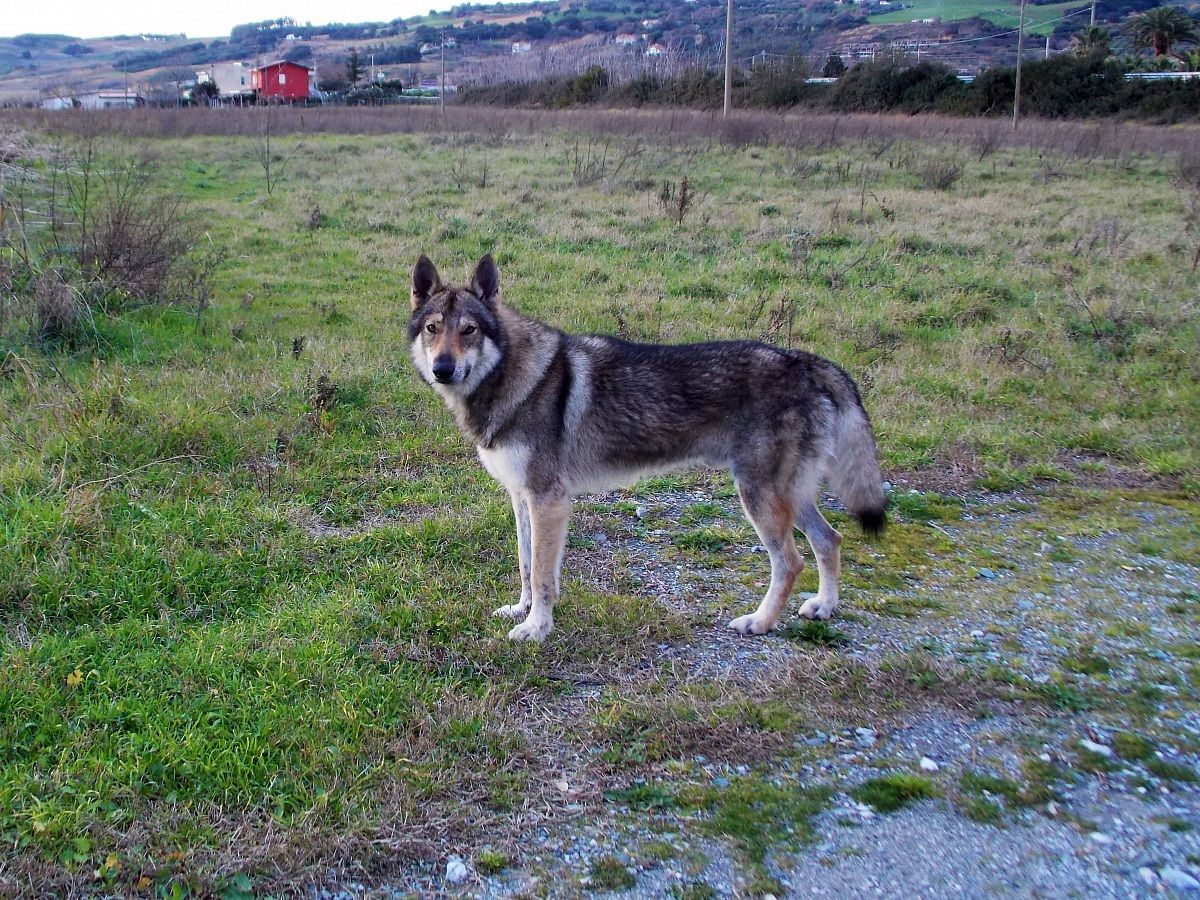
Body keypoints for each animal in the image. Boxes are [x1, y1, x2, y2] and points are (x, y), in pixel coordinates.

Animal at [408, 254, 887, 643]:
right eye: (433, 329)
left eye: (469, 331)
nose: (443, 369)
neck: (513, 377)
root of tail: (806, 361)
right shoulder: (520, 496)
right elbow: (527, 566)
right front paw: (521, 610)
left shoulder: (549, 501)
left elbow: (544, 575)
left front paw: (537, 629)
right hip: (790, 497)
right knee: (830, 540)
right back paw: (824, 607)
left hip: (760, 499)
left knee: (790, 562)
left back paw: (760, 622)